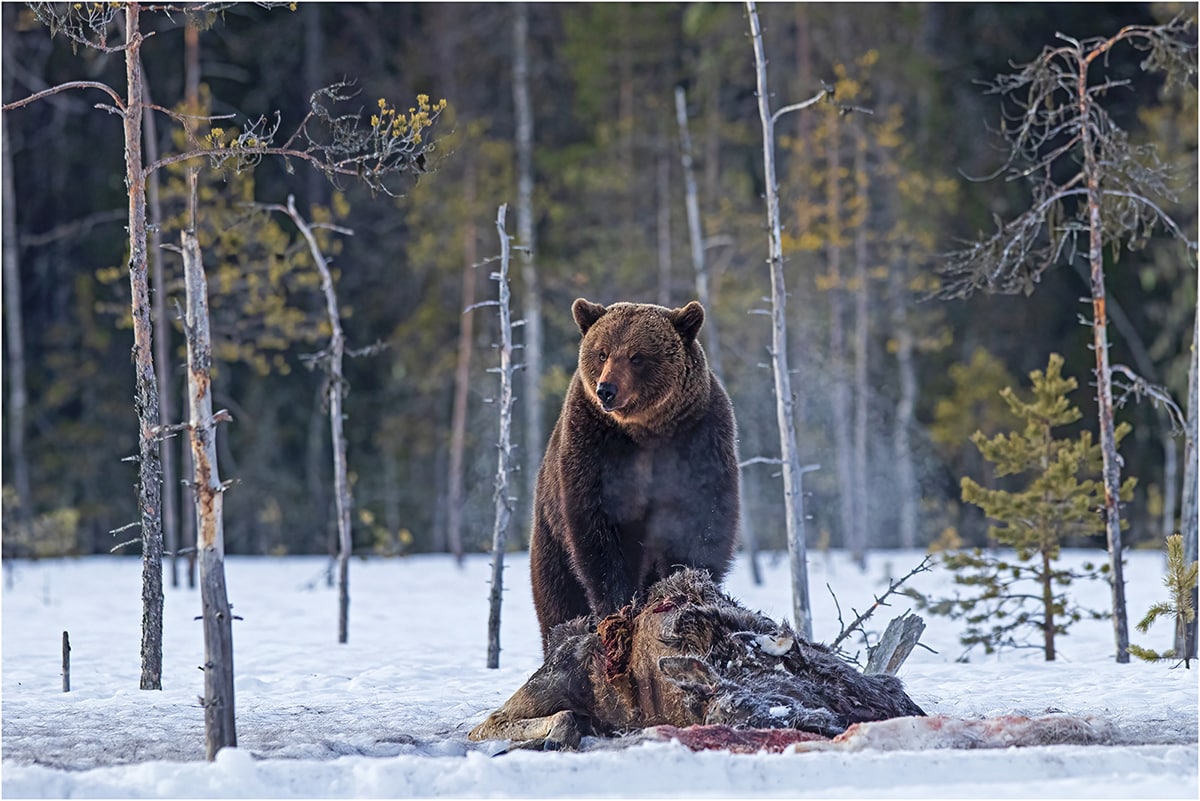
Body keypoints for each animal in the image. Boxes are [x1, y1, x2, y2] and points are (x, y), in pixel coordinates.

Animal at [528, 297, 734, 652]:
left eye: (637, 356)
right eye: (602, 352)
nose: (606, 390)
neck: (645, 431)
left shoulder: (699, 437)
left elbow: (702, 517)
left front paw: (688, 584)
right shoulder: (594, 445)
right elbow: (599, 531)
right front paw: (619, 605)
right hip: (549, 534)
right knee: (558, 595)